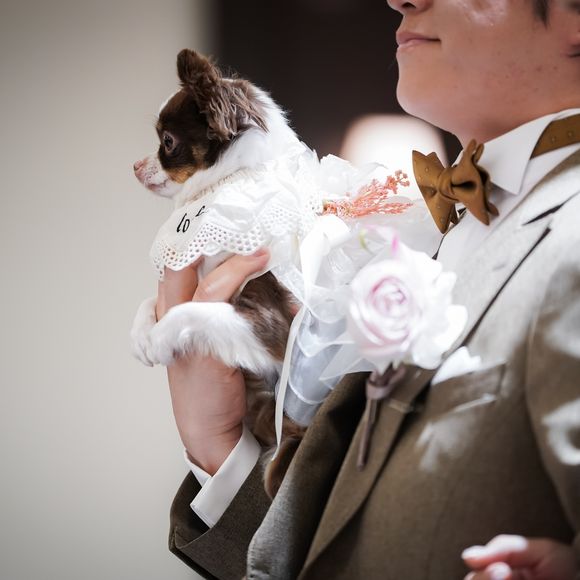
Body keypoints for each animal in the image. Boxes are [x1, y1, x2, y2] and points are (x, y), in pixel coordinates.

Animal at [131, 49, 309, 498]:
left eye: (167, 142)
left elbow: (195, 310)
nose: (135, 166)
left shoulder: (272, 325)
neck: (228, 185)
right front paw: (140, 334)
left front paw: (159, 338)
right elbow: (151, 300)